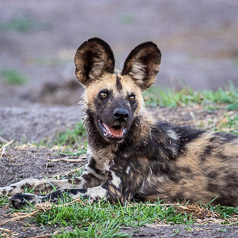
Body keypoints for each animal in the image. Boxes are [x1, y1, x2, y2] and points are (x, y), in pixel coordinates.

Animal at [0, 37, 238, 208]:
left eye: (131, 97)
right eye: (104, 94)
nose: (122, 115)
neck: (107, 149)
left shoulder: (113, 191)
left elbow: (60, 193)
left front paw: (27, 199)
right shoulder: (90, 178)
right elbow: (37, 180)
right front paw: (9, 189)